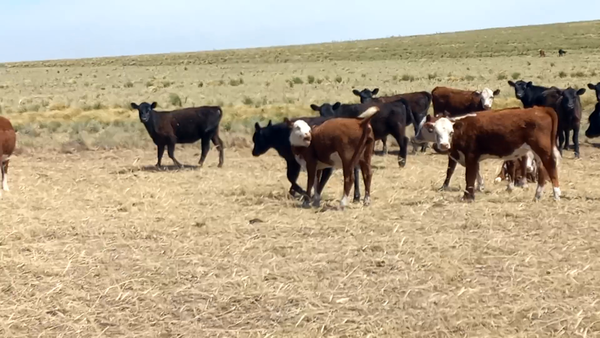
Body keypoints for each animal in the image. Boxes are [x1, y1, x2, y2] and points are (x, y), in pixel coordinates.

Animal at [424, 106, 560, 201]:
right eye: (435, 132)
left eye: (451, 132)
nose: (444, 145)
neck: (463, 129)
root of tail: (541, 109)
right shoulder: (472, 158)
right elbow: (475, 174)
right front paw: (478, 189)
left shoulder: (470, 156)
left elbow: (469, 176)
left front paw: (468, 197)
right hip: (537, 153)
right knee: (542, 171)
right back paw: (537, 195)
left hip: (543, 150)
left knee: (551, 168)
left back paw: (556, 195)